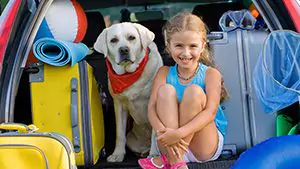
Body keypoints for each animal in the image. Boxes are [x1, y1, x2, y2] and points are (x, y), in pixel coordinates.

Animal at [94, 21, 163, 162]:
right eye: (113, 40)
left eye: (132, 38)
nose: (124, 50)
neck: (129, 74)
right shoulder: (119, 105)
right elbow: (120, 134)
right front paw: (117, 154)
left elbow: (155, 133)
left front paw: (154, 154)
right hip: (132, 139)